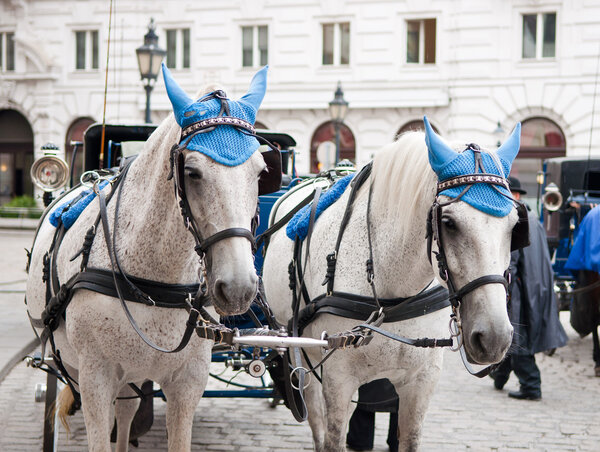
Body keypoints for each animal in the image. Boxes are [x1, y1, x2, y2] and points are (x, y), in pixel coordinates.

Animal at [25, 64, 270, 452]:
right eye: (192, 172)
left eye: (261, 171)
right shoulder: (95, 378)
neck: (156, 284)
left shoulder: (187, 383)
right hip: (73, 363)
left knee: (126, 411)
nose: (238, 288)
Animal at [262, 120, 520, 452]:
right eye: (448, 223)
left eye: (515, 225)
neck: (392, 293)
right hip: (300, 352)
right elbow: (333, 438)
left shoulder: (421, 382)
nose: (494, 338)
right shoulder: (338, 379)